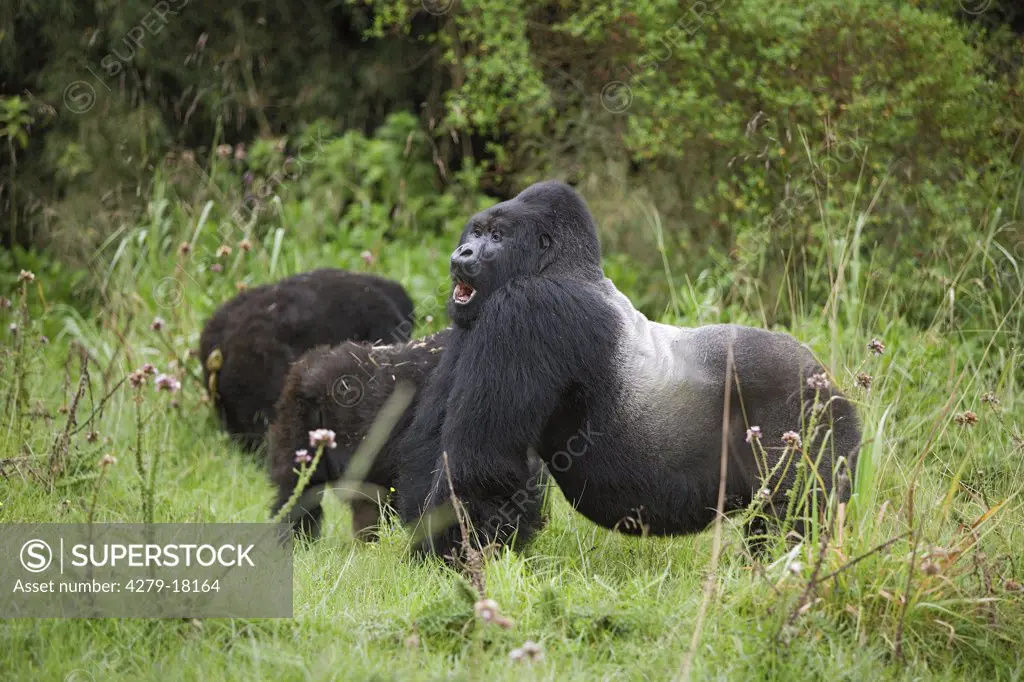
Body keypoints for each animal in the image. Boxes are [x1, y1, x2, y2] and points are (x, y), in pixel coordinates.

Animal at [395, 179, 860, 557]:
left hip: (812, 413)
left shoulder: (526, 309)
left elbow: (481, 464)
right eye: (474, 231)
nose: (463, 252)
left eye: (496, 236)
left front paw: (448, 560)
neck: (563, 265)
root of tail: (827, 376)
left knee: (794, 515)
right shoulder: (474, 320)